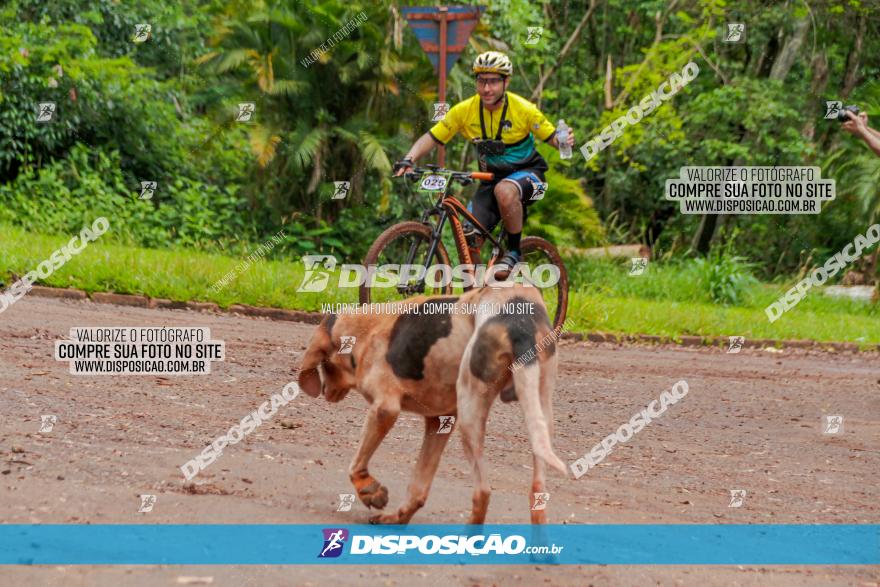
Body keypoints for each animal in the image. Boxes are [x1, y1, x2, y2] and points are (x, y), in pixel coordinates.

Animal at [300, 284, 568, 524]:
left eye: (324, 365)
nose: (324, 391)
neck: (364, 329)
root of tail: (518, 317)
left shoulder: (384, 409)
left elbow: (356, 466)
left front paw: (370, 490)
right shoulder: (439, 422)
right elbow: (419, 486)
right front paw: (399, 516)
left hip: (470, 415)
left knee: (483, 492)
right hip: (540, 414)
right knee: (536, 489)